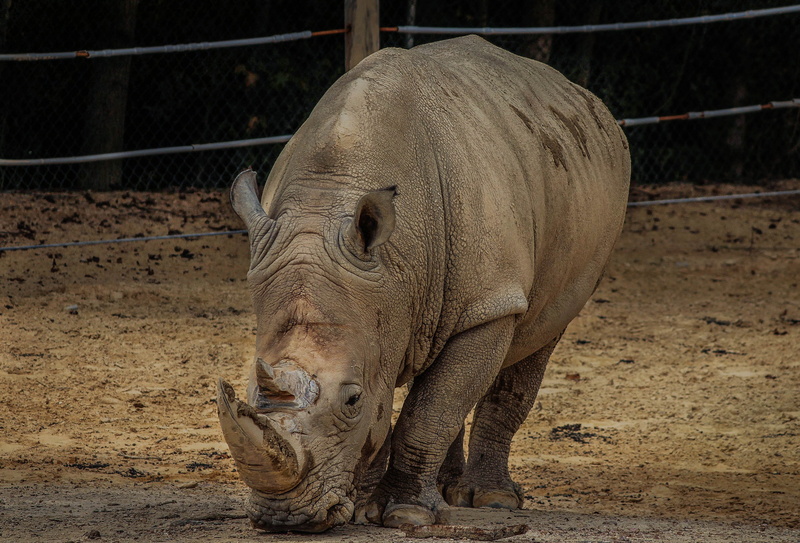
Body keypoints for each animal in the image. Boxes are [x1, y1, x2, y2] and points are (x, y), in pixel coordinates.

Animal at [216, 35, 630, 532]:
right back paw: (448, 493)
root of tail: (584, 99)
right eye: (249, 392)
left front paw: (404, 514)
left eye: (351, 400)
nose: (284, 518)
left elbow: (427, 410)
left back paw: (490, 500)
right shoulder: (381, 301)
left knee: (537, 336)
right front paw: (366, 505)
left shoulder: (488, 303)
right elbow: (409, 405)